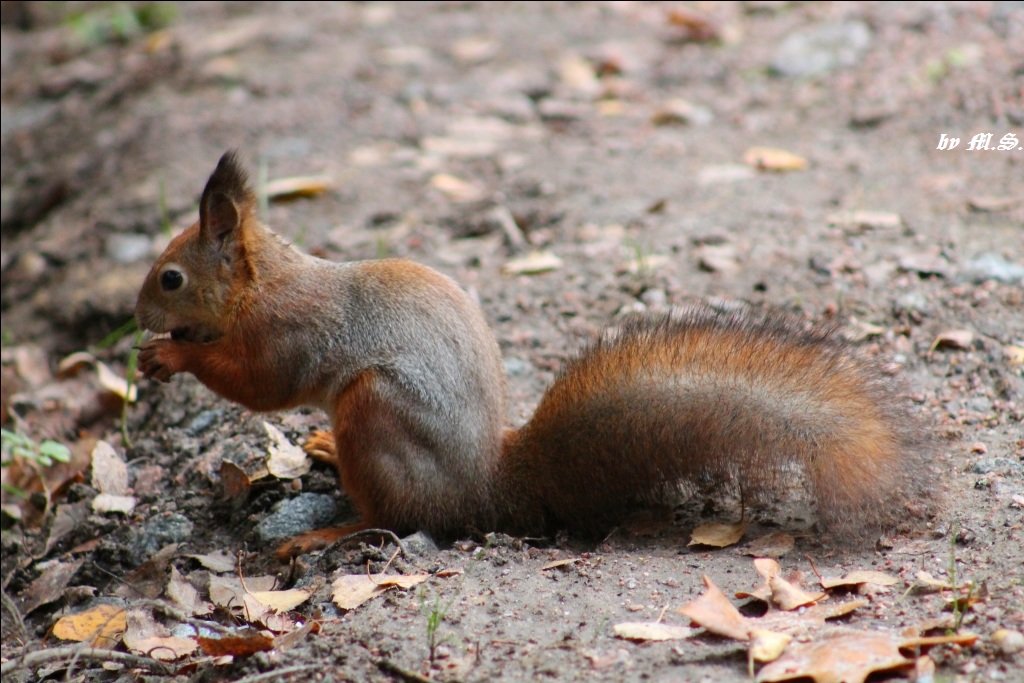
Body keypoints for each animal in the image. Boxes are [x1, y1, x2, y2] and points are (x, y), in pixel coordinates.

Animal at [136, 150, 937, 557]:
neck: (265, 281)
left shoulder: (291, 333)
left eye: (171, 277)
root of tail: (487, 489)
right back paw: (327, 451)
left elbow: (262, 385)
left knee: (397, 516)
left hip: (375, 410)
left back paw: (328, 527)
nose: (137, 316)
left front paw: (171, 358)